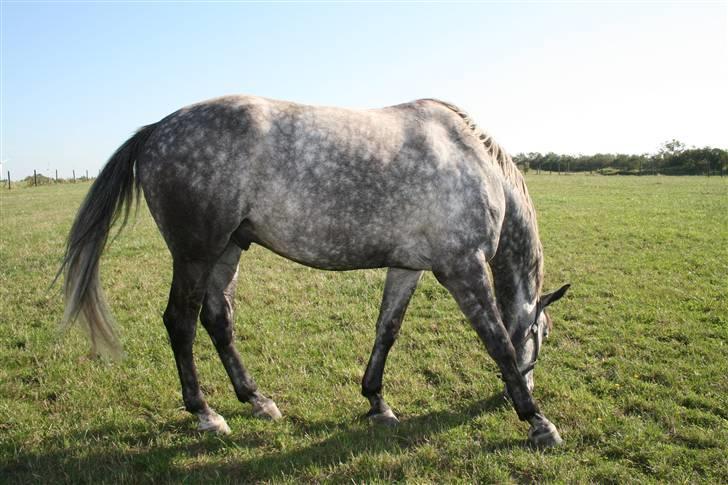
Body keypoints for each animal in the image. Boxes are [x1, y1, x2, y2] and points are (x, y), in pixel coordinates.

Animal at [59, 94, 572, 446]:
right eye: (542, 336)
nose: (504, 399)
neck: (472, 160)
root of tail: (156, 129)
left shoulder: (407, 267)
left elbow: (387, 330)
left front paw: (377, 403)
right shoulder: (463, 269)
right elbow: (498, 342)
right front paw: (537, 421)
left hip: (228, 250)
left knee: (217, 319)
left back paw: (257, 400)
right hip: (195, 254)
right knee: (180, 323)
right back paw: (206, 413)